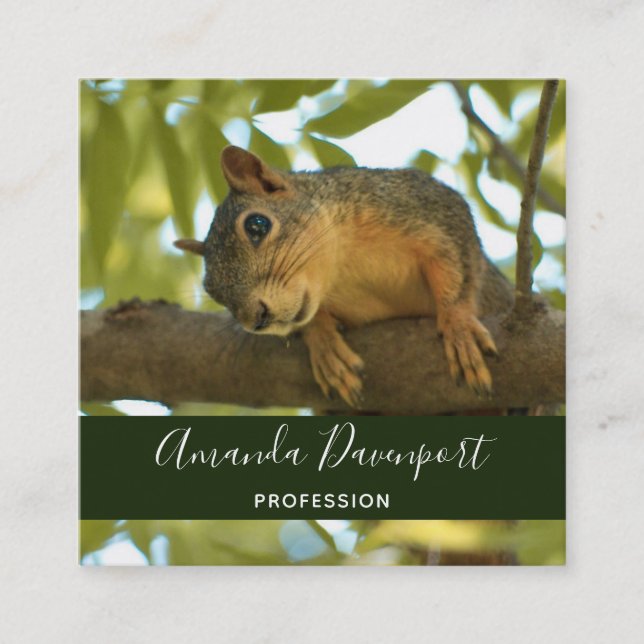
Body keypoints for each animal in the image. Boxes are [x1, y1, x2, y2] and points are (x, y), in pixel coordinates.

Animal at [175, 145, 514, 408]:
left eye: (257, 225)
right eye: (212, 290)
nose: (256, 319)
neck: (340, 271)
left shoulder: (429, 209)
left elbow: (458, 266)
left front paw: (458, 326)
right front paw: (324, 343)